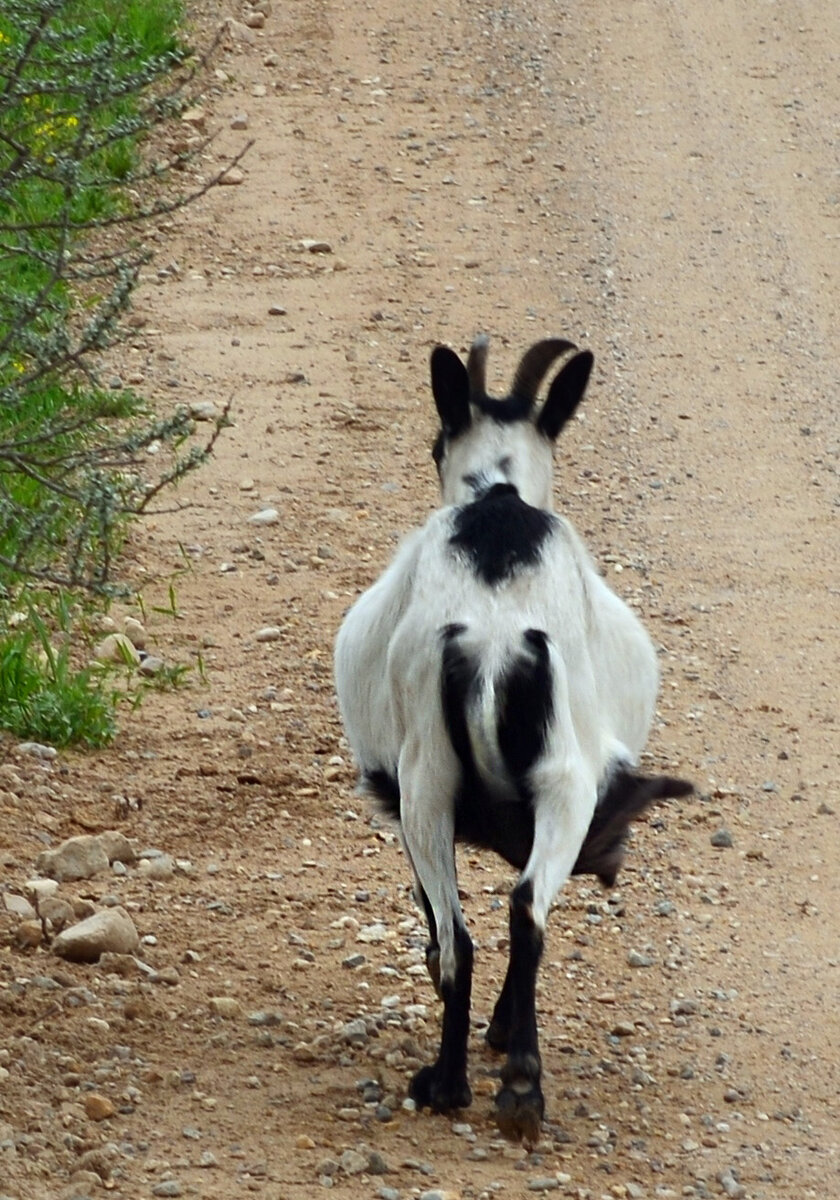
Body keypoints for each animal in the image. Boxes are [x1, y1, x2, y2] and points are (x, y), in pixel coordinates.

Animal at [331, 336, 691, 1142]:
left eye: (436, 441)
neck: (495, 495)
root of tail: (494, 640)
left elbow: (433, 918)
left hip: (431, 782)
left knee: (468, 933)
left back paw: (455, 1081)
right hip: (562, 785)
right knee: (525, 911)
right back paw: (515, 1084)